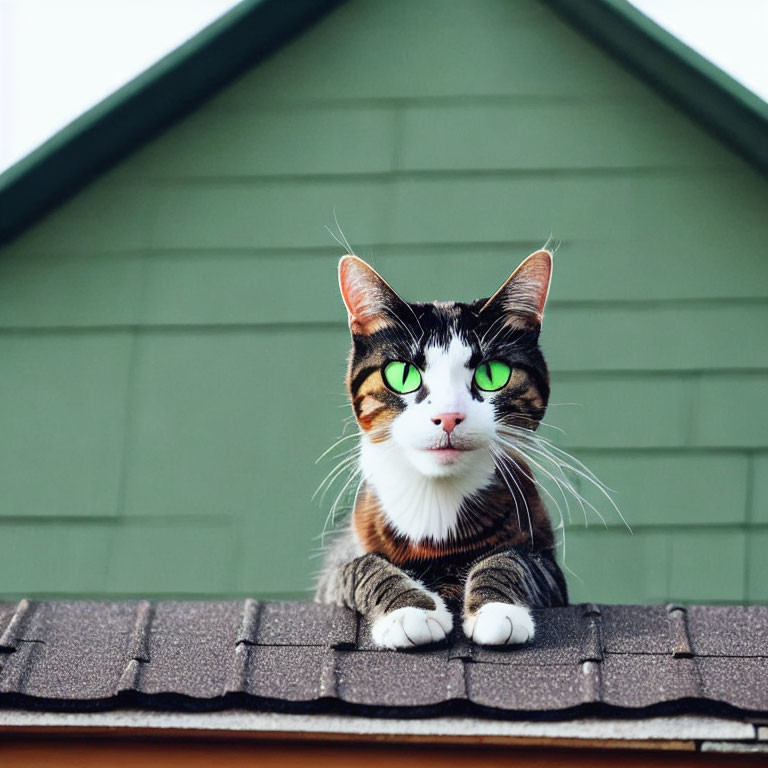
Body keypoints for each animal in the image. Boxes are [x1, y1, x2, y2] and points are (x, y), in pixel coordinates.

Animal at [314, 252, 568, 648]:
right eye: (402, 375)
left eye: (492, 374)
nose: (449, 417)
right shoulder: (335, 572)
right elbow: (360, 567)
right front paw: (410, 611)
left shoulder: (553, 572)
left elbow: (513, 560)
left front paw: (497, 611)